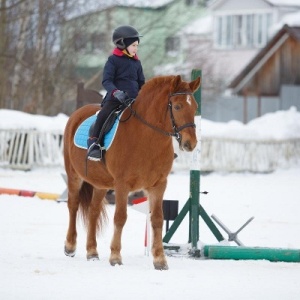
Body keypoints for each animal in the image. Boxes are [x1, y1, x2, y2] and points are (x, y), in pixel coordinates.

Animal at [63, 74, 199, 270]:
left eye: (195, 107)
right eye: (178, 106)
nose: (191, 143)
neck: (146, 136)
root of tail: (77, 113)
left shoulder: (159, 185)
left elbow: (157, 219)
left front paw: (160, 260)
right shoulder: (122, 184)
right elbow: (120, 217)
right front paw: (115, 257)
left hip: (101, 183)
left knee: (94, 210)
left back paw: (92, 252)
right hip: (74, 175)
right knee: (73, 205)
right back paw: (70, 246)